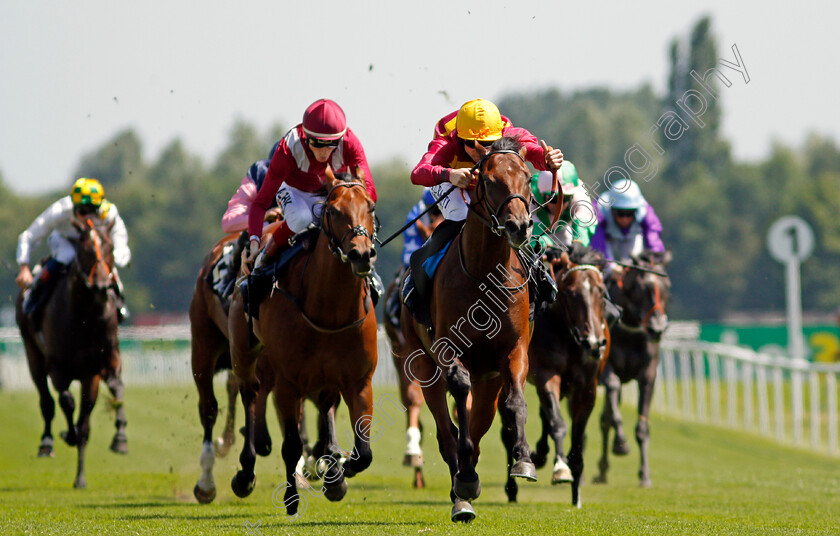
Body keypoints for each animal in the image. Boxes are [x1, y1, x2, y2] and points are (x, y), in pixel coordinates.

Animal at [15, 216, 126, 488]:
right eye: (84, 250)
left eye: (110, 248)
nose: (101, 287)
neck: (84, 317)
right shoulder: (58, 366)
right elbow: (66, 401)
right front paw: (68, 434)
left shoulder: (98, 367)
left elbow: (113, 393)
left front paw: (119, 439)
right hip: (32, 353)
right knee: (46, 400)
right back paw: (47, 443)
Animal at [226, 166, 378, 516]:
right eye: (333, 211)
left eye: (371, 208)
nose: (361, 254)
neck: (329, 311)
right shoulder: (288, 382)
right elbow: (291, 444)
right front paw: (292, 498)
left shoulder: (358, 379)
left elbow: (363, 451)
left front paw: (342, 468)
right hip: (243, 350)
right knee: (250, 393)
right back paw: (245, 472)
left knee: (324, 405)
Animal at [398, 136, 536, 520]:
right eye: (487, 180)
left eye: (527, 177)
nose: (519, 226)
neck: (484, 273)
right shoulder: (447, 348)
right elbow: (459, 393)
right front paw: (465, 481)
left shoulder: (514, 349)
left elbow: (514, 401)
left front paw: (523, 460)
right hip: (421, 363)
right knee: (447, 433)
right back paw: (460, 492)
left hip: (488, 379)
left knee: (479, 422)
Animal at [516, 246, 608, 506]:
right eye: (571, 293)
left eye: (601, 291)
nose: (593, 343)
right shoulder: (548, 375)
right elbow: (557, 422)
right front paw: (561, 468)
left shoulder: (587, 386)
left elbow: (578, 436)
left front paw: (576, 491)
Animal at [592, 249, 672, 488]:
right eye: (640, 287)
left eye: (667, 286)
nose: (656, 329)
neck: (629, 333)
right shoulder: (605, 367)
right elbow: (612, 387)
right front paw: (621, 443)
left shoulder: (648, 374)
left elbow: (642, 427)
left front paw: (644, 474)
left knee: (604, 419)